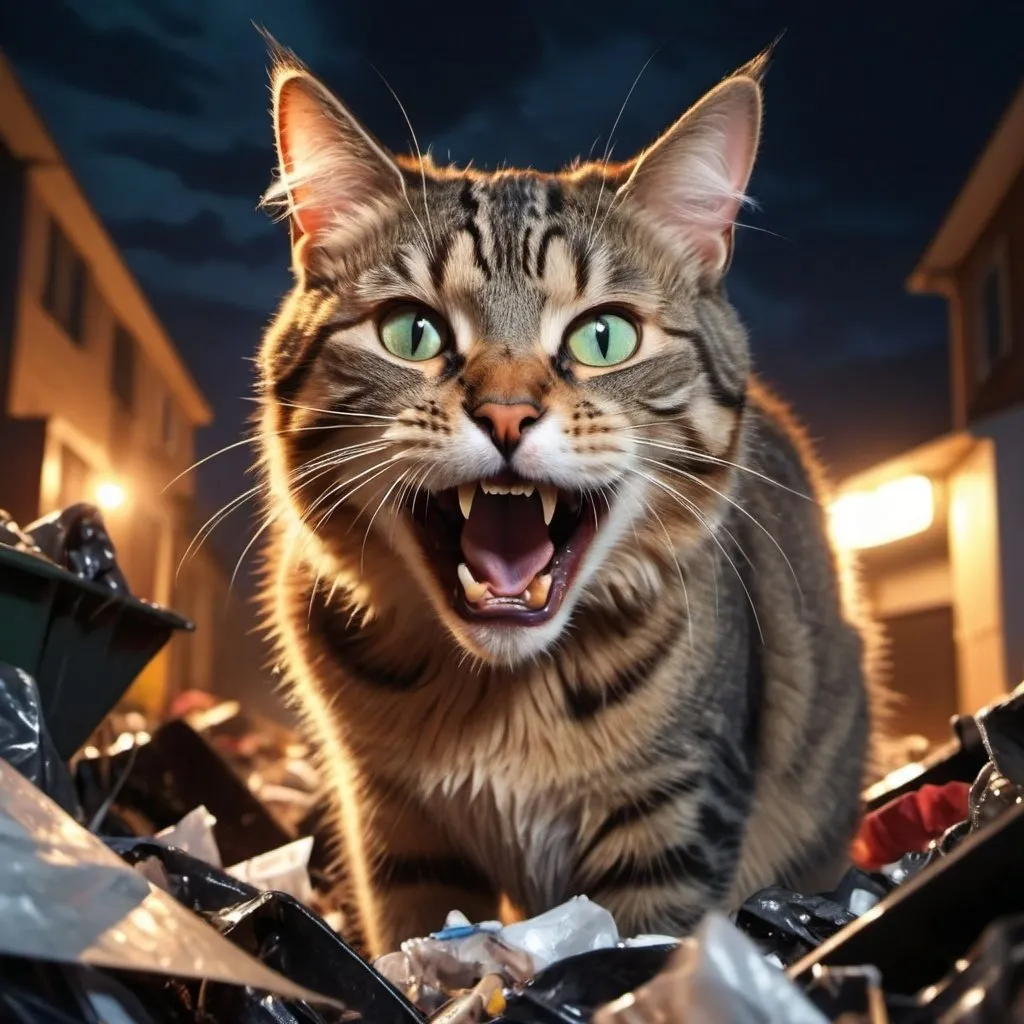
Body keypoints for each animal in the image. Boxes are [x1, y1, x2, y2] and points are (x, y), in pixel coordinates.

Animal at [253, 41, 880, 958]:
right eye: (412, 332)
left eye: (604, 336)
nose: (507, 413)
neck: (499, 699)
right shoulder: (395, 829)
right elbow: (412, 935)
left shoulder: (675, 814)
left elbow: (640, 949)